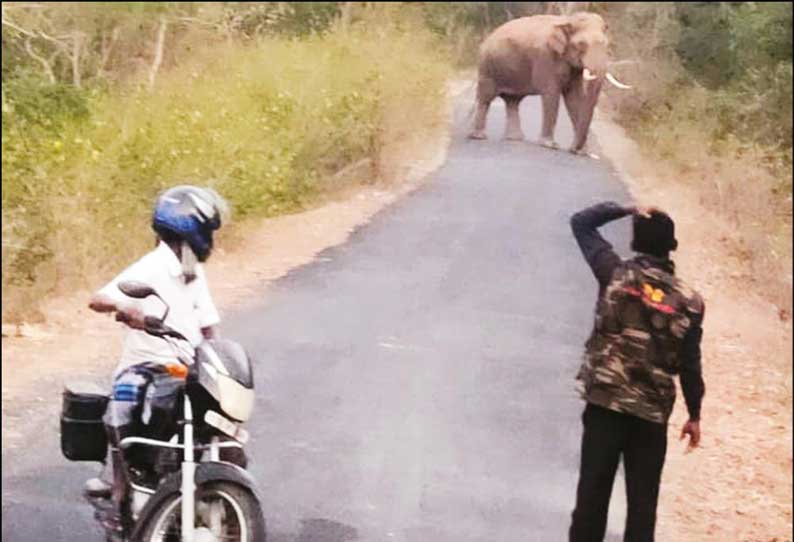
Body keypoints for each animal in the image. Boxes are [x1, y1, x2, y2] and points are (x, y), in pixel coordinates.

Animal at [468, 12, 628, 155]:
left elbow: (574, 99)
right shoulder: (545, 57)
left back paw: (514, 139)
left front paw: (582, 152)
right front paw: (550, 145)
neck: (567, 20)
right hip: (487, 67)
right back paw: (478, 136)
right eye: (581, 44)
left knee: (513, 101)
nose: (574, 150)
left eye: (606, 44)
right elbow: (551, 95)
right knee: (486, 97)